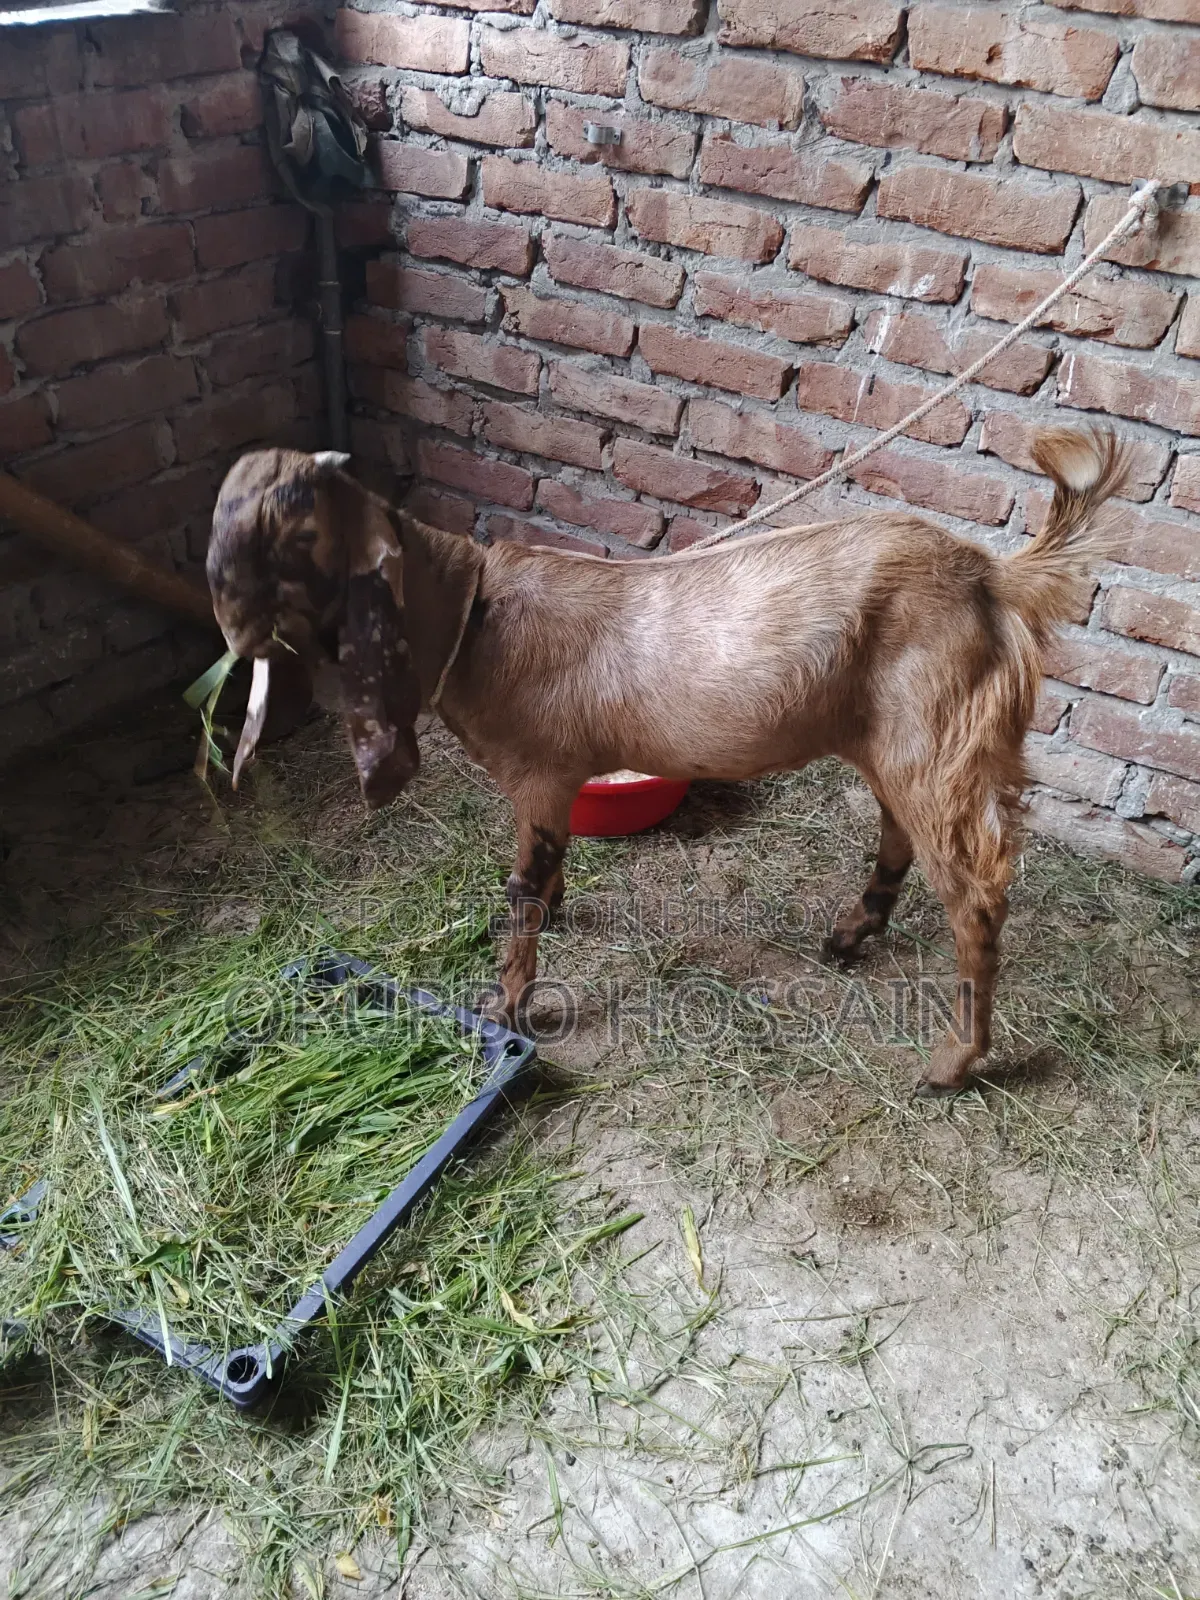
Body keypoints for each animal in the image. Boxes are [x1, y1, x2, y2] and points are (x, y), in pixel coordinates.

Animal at [206, 427, 1129, 1095]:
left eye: (291, 528)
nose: (233, 636)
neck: (473, 612)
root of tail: (995, 579)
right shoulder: (553, 785)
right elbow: (541, 872)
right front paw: (555, 913)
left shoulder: (540, 771)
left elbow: (522, 893)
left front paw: (505, 1005)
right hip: (892, 739)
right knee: (900, 835)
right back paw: (850, 935)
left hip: (935, 738)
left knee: (975, 898)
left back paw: (951, 1063)